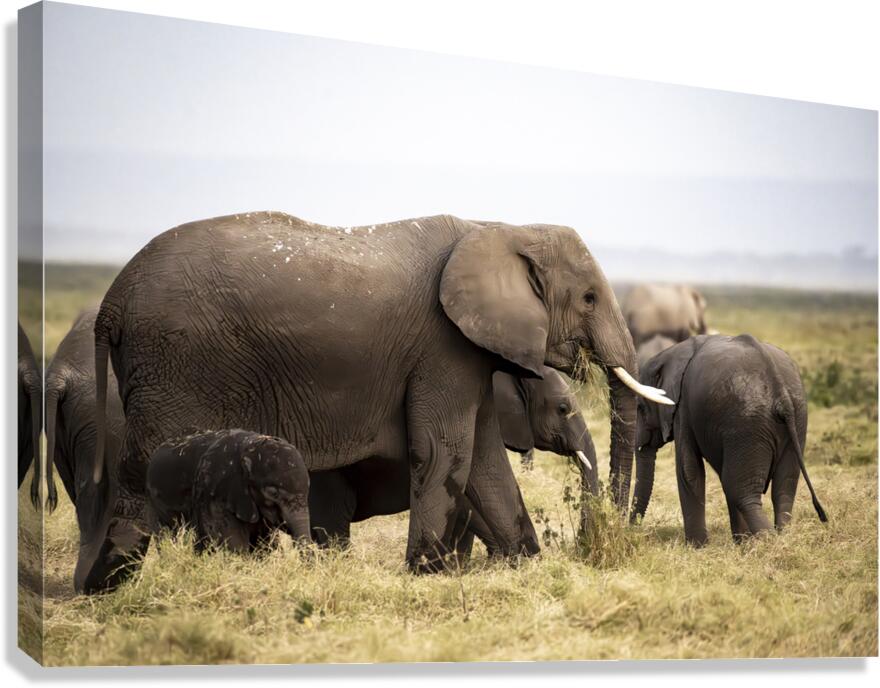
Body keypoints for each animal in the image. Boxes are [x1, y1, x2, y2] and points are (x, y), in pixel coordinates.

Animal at [146, 429, 311, 551]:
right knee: (166, 535)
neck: (250, 446)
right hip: (155, 503)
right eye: (273, 493)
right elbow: (235, 544)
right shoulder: (217, 492)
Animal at [631, 334, 827, 546]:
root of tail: (780, 392)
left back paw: (767, 543)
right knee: (783, 487)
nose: (631, 529)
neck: (673, 351)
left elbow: (689, 471)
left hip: (747, 423)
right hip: (796, 419)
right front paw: (741, 541)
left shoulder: (683, 409)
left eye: (640, 408)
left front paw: (697, 547)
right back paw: (780, 539)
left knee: (739, 490)